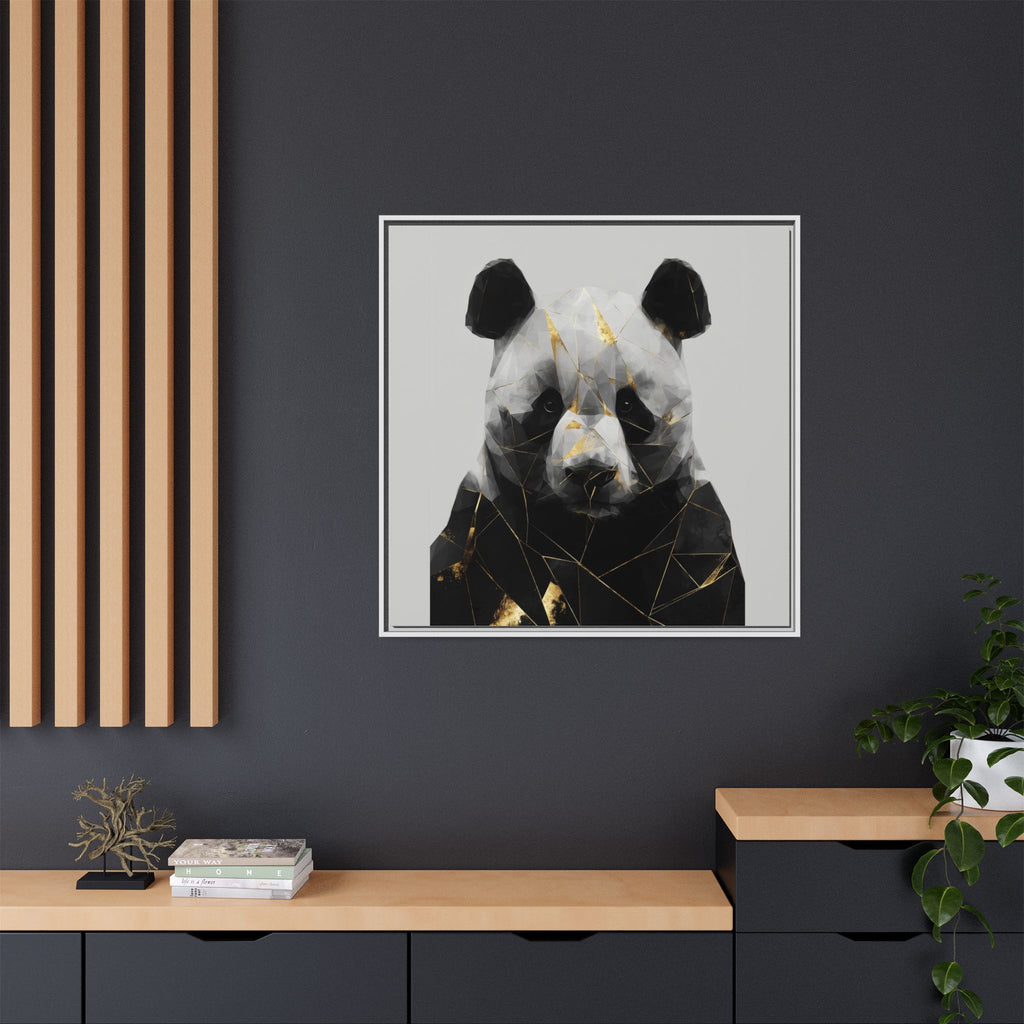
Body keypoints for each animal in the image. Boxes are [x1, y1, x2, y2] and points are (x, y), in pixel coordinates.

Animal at [429, 258, 744, 627]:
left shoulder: (692, 536)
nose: (590, 473)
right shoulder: (482, 529)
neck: (587, 539)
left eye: (628, 405)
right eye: (549, 404)